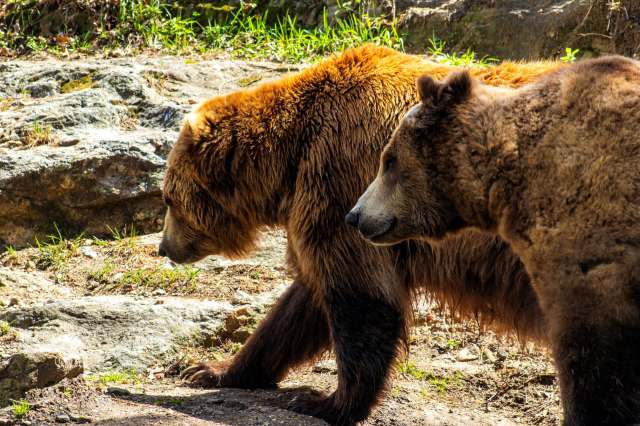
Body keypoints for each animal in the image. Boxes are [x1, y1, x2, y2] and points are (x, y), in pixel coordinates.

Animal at [158, 44, 563, 425]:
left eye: (168, 198)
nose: (164, 248)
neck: (291, 159)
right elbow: (299, 307)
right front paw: (208, 369)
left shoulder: (345, 183)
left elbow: (361, 297)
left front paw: (325, 402)